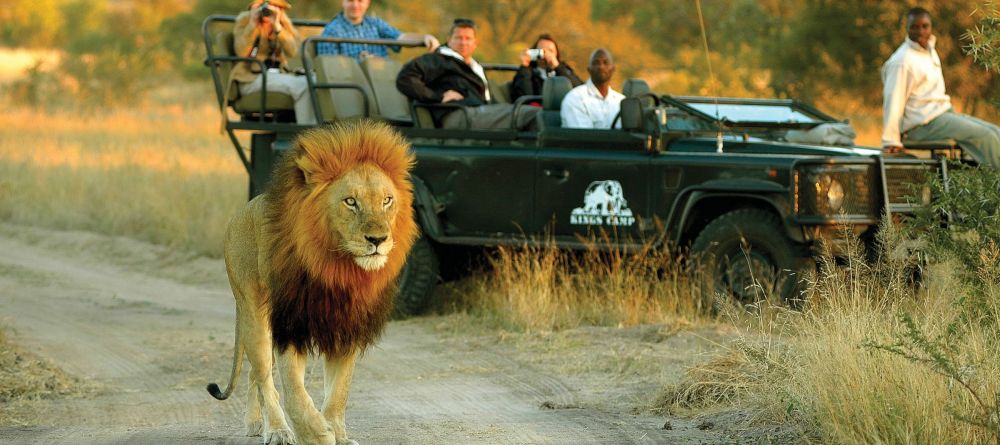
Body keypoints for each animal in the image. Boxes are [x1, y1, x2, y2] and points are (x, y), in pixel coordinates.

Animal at [207, 119, 418, 444]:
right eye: (350, 202)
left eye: (387, 200)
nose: (378, 239)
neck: (338, 270)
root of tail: (243, 209)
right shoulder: (292, 325)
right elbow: (295, 393)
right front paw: (317, 433)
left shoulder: (347, 330)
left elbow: (339, 393)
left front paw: (338, 433)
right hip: (255, 314)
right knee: (264, 377)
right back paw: (277, 429)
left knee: (256, 375)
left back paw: (256, 423)